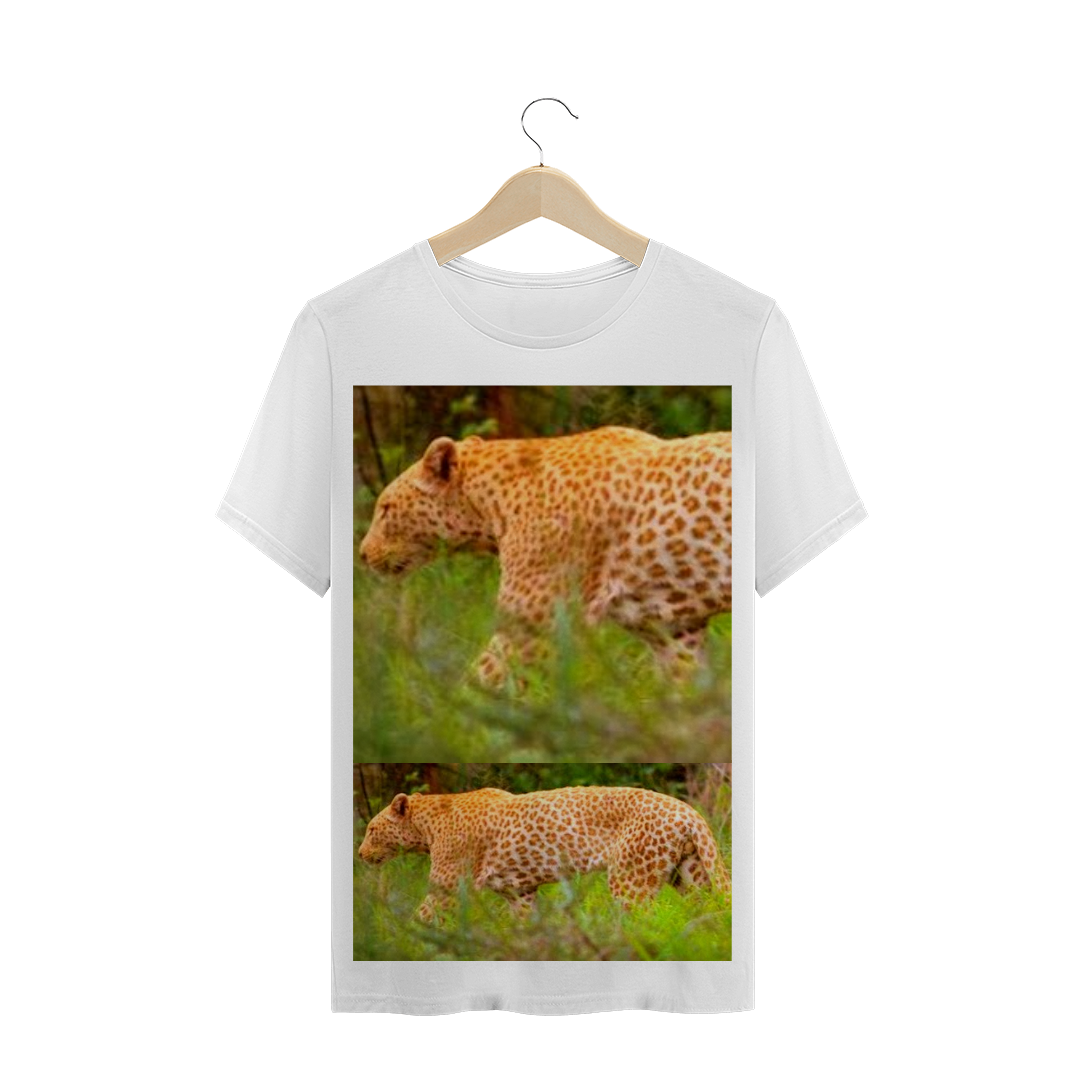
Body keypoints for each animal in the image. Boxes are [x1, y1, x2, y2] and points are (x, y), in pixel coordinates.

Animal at [357, 786, 726, 920]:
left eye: (372, 830)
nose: (359, 854)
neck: (427, 826)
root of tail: (689, 811)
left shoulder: (446, 886)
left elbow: (423, 917)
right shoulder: (519, 892)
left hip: (630, 880)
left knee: (640, 920)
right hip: (690, 874)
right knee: (707, 910)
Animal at [358, 425, 732, 685]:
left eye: (386, 509)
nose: (361, 554)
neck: (491, 507)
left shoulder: (531, 628)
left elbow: (482, 685)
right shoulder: (674, 633)